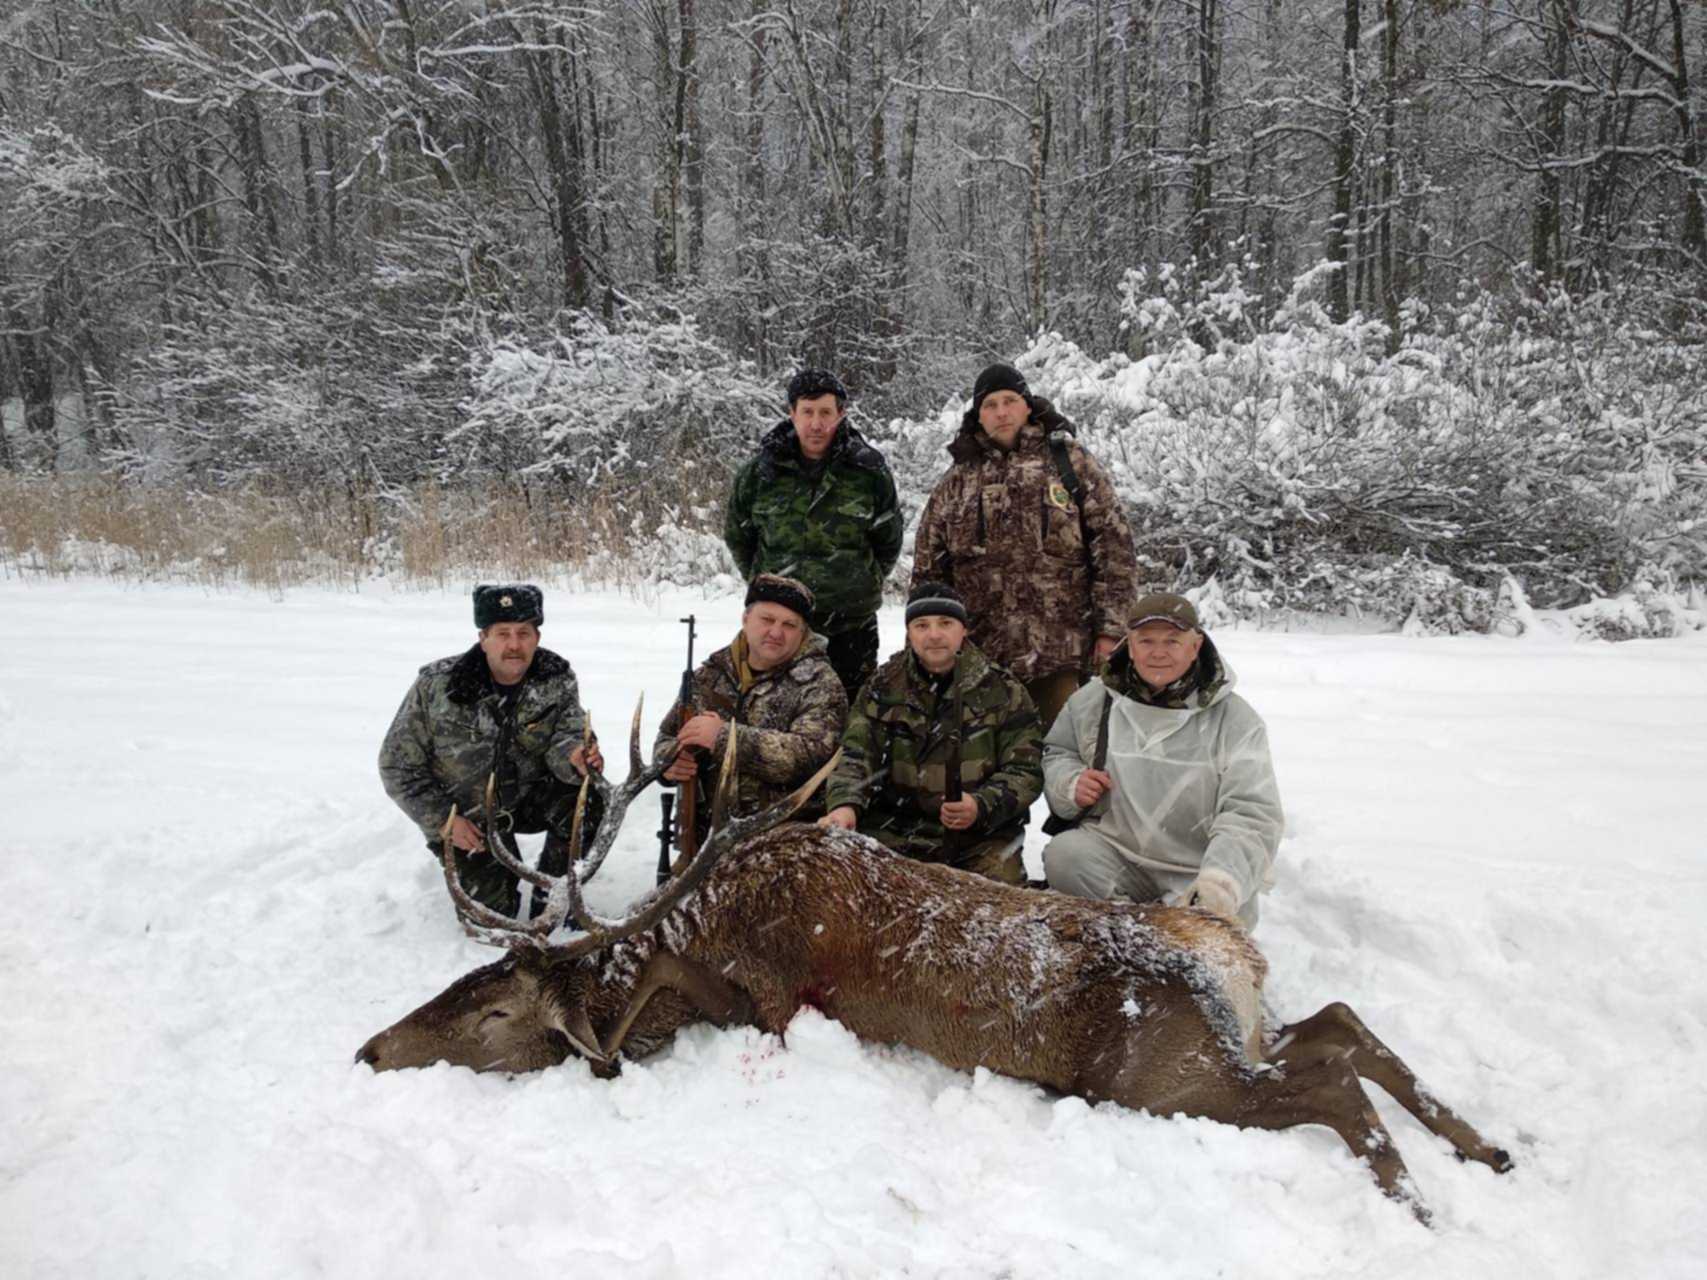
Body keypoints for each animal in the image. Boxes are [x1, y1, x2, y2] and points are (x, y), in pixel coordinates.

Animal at [356, 713, 1508, 1221]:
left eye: (494, 1011)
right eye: (456, 987)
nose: (367, 1049)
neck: (692, 959)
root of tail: (1235, 952)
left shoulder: (777, 1000)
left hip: (1162, 1071)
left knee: (1328, 1077)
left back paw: (1421, 1200)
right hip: (1238, 1030)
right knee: (1343, 1019)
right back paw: (1490, 1148)